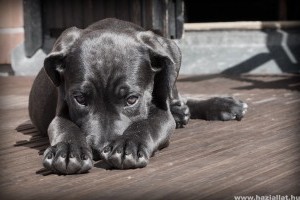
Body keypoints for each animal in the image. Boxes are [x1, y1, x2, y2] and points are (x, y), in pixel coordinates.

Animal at [29, 18, 247, 173]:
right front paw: (67, 150)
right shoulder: (61, 110)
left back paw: (222, 105)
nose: (99, 150)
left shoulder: (161, 113)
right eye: (80, 99)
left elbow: (147, 123)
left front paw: (128, 145)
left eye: (131, 99)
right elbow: (65, 126)